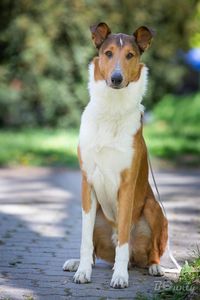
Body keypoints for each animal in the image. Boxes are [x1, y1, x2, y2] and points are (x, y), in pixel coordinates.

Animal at [63, 21, 168, 288]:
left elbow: (123, 239)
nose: (116, 78)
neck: (112, 110)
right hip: (97, 214)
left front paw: (120, 276)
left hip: (154, 209)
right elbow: (84, 240)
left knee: (150, 250)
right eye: (108, 53)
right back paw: (79, 263)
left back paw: (154, 267)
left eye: (130, 55)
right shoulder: (87, 182)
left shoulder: (127, 185)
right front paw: (83, 272)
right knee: (93, 248)